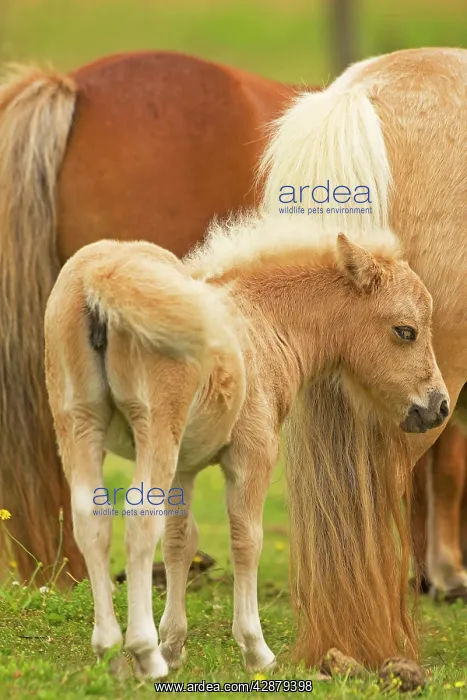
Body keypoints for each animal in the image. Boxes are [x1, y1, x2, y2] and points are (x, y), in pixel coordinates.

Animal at [44, 215, 447, 676]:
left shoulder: (186, 465)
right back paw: (142, 652)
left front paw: (174, 644)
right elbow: (246, 540)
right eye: (406, 331)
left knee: (90, 519)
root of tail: (101, 280)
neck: (262, 323)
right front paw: (255, 649)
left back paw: (110, 650)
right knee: (139, 516)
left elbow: (181, 540)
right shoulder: (253, 454)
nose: (438, 406)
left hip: (78, 419)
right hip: (155, 424)